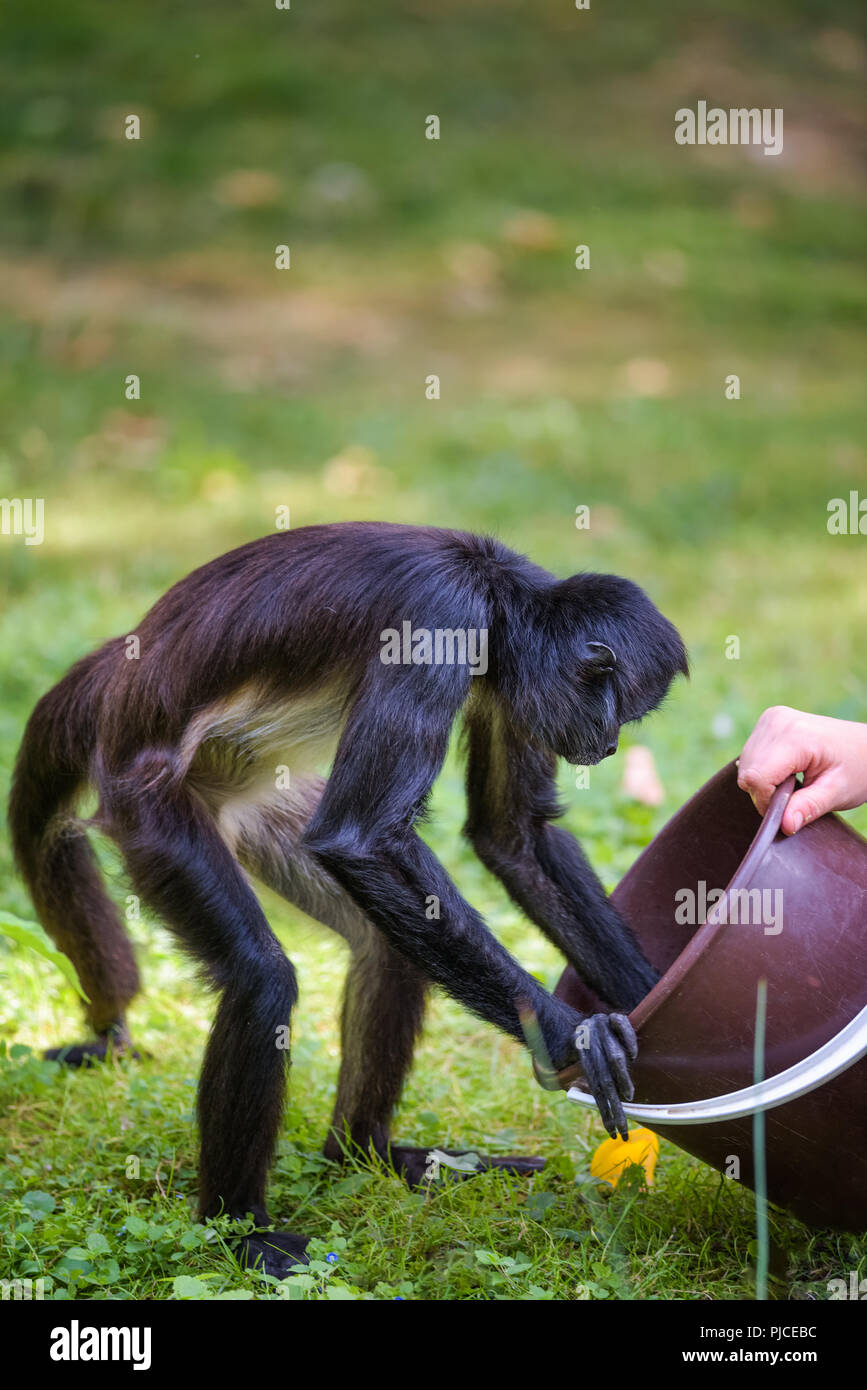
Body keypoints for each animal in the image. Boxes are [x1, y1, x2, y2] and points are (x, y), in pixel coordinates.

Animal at [6, 519, 683, 1273]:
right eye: (618, 709)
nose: (612, 744)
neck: (494, 590)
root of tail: (118, 685)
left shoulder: (502, 684)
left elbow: (511, 834)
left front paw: (657, 1000)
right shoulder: (437, 620)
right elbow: (361, 840)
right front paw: (578, 1036)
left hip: (255, 801)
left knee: (388, 951)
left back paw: (371, 1155)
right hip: (149, 808)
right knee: (262, 977)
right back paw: (243, 1232)